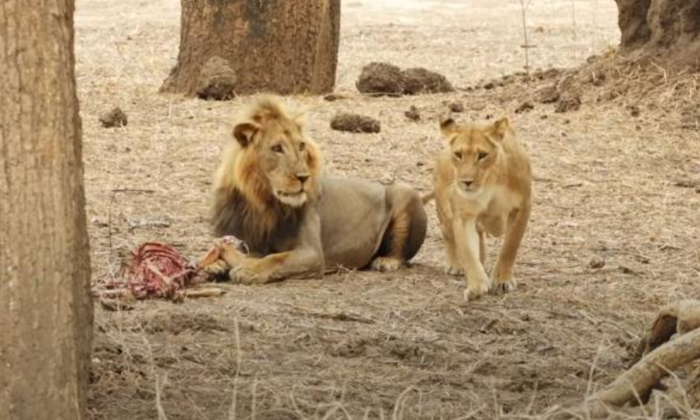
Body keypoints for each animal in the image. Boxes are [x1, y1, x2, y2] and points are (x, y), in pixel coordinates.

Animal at [209, 96, 428, 284]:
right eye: (277, 148)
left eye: (301, 146)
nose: (304, 177)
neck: (262, 202)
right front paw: (216, 265)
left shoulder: (312, 253)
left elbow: (276, 259)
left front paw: (248, 269)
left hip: (405, 191)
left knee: (400, 254)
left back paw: (386, 261)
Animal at [433, 116, 532, 301]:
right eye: (458, 154)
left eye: (482, 155)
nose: (466, 182)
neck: (489, 181)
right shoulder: (464, 216)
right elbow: (467, 252)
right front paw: (477, 286)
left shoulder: (521, 207)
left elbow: (510, 246)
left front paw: (501, 280)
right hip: (445, 210)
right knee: (448, 234)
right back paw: (456, 265)